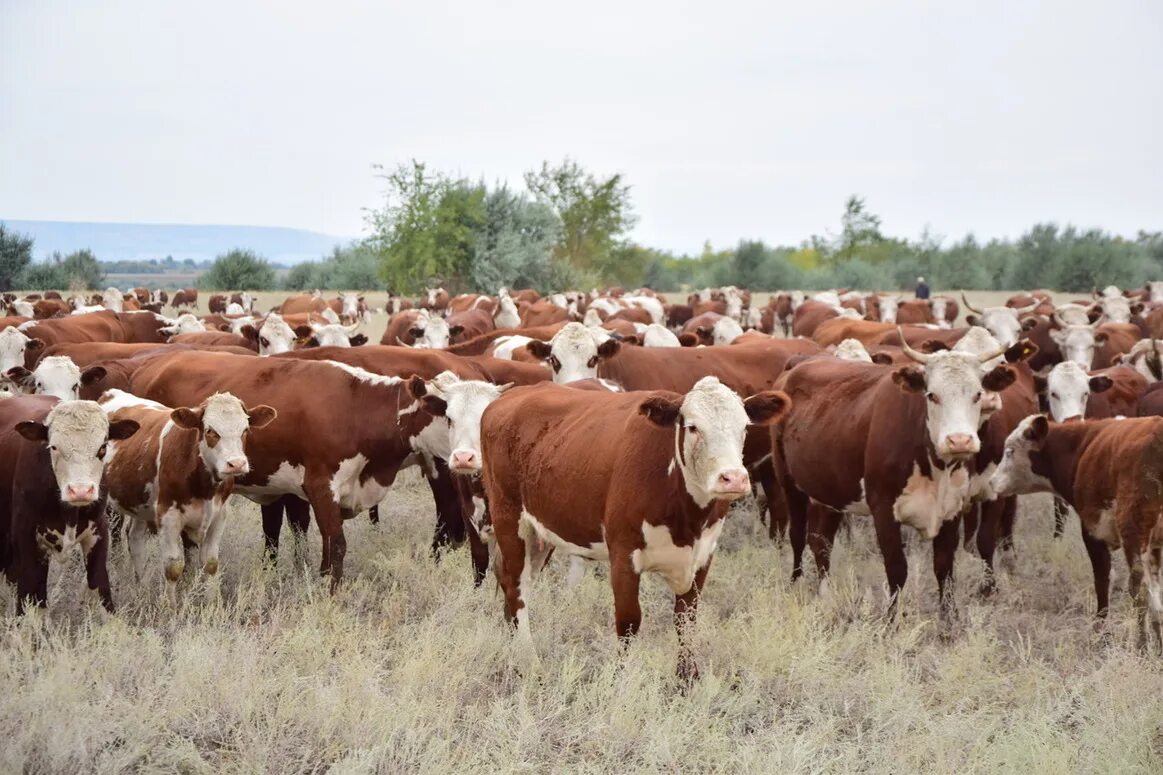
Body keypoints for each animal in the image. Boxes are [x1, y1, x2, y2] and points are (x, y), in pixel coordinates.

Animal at [0, 397, 139, 609]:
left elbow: (101, 589)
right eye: (54, 447)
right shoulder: (27, 540)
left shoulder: (98, 532)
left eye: (102, 447)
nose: (80, 491)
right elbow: (30, 596)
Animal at [97, 388, 274, 581]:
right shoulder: (168, 516)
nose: (237, 464)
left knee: (135, 538)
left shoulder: (219, 515)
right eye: (210, 431)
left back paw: (142, 584)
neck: (204, 487)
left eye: (245, 429)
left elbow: (210, 564)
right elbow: (174, 568)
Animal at [476, 377, 786, 679]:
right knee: (516, 586)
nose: (733, 478)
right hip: (509, 517)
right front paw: (620, 681)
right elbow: (628, 622)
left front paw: (686, 682)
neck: (687, 520)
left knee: (519, 582)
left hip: (541, 530)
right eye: (693, 427)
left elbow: (686, 620)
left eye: (744, 426)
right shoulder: (623, 554)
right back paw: (530, 664)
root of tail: (510, 397)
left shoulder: (703, 555)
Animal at [772, 335, 1018, 619]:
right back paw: (796, 584)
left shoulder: (951, 510)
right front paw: (890, 620)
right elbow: (897, 569)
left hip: (831, 491)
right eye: (932, 395)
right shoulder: (884, 511)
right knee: (798, 536)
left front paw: (949, 621)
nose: (959, 441)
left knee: (822, 542)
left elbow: (945, 568)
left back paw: (826, 595)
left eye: (977, 394)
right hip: (789, 483)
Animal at [990, 414, 1163, 646]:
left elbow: (1103, 580)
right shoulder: (1153, 546)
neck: (1081, 446)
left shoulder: (1093, 531)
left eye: (1009, 451)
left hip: (1133, 531)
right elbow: (1156, 596)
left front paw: (1101, 631)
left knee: (1138, 589)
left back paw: (1141, 645)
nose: (991, 482)